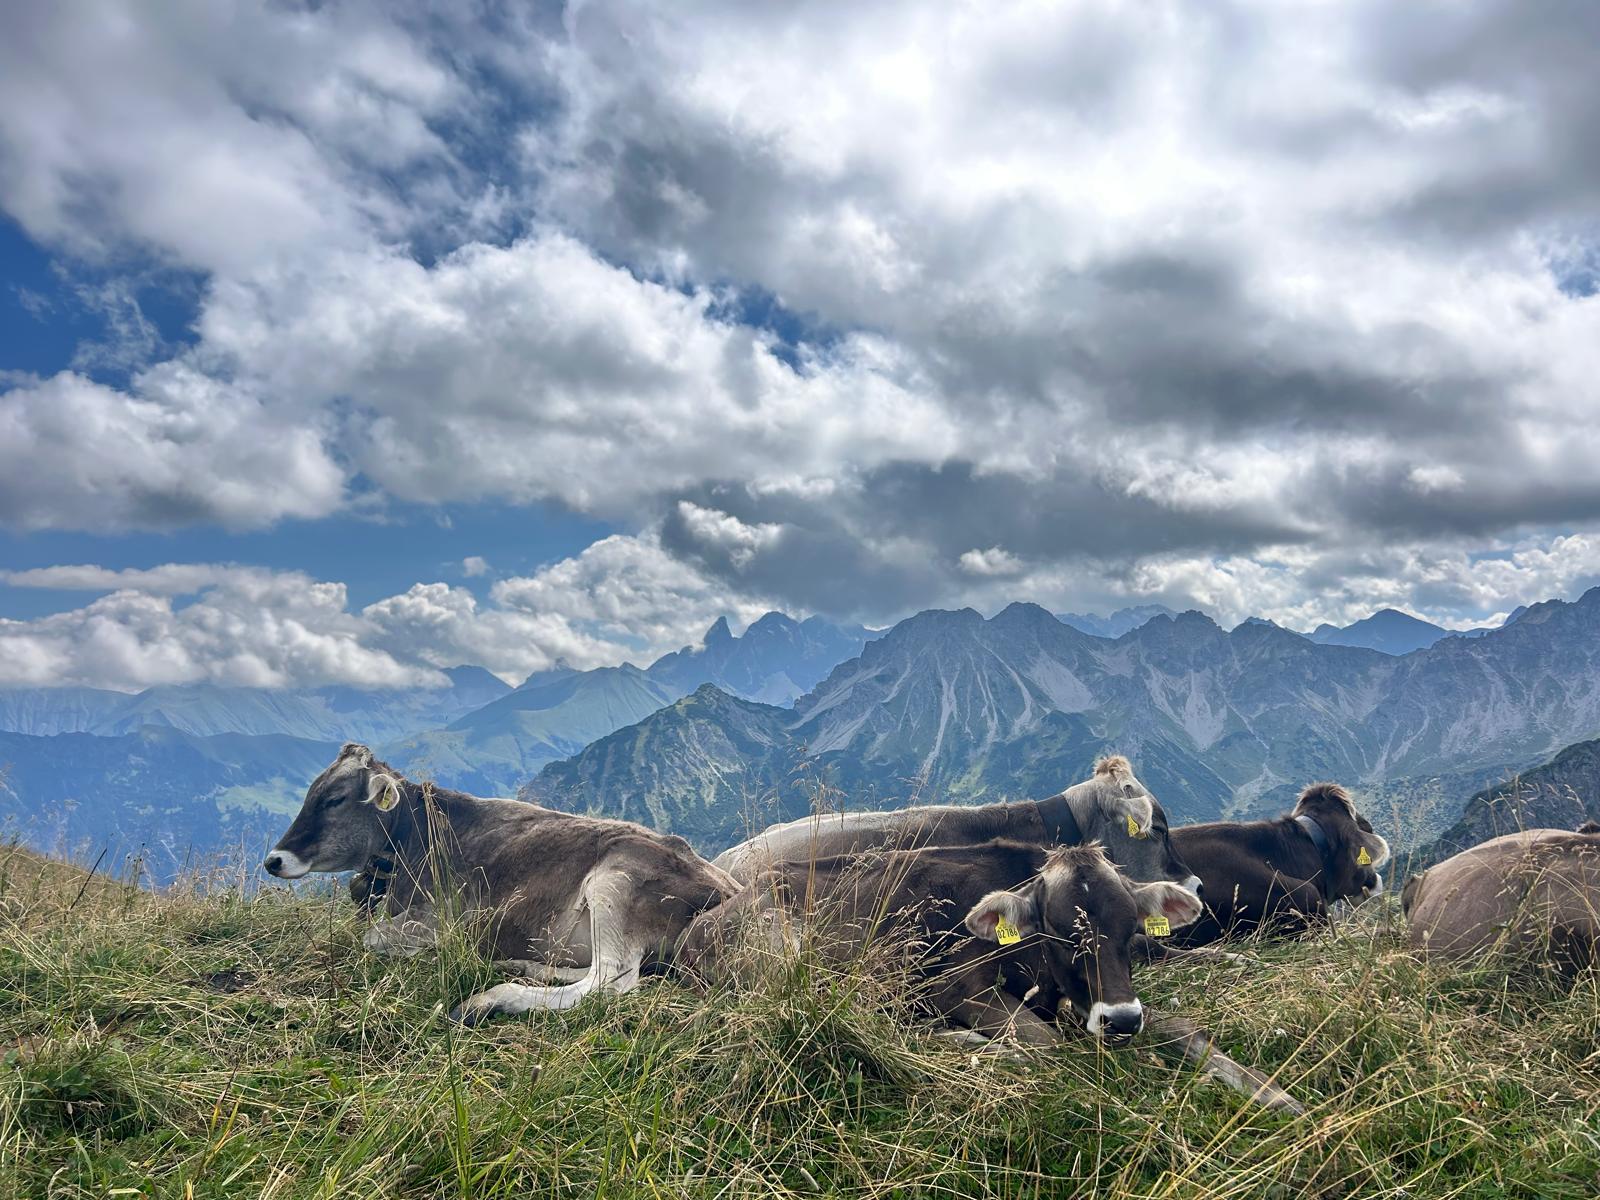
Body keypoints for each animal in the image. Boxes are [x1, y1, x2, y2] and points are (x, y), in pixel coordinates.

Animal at [264, 743, 740, 1024]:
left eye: (334, 799)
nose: (274, 859)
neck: (416, 836)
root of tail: (726, 889)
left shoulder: (441, 917)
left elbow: (373, 938)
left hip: (616, 881)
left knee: (612, 980)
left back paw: (489, 999)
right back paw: (519, 966)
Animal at [679, 839, 1303, 1114]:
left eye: (1132, 929)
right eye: (1060, 932)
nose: (1122, 1022)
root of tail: (700, 927)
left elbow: (1184, 1028)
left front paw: (1273, 1094)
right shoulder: (951, 984)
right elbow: (1044, 1045)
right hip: (790, 953)